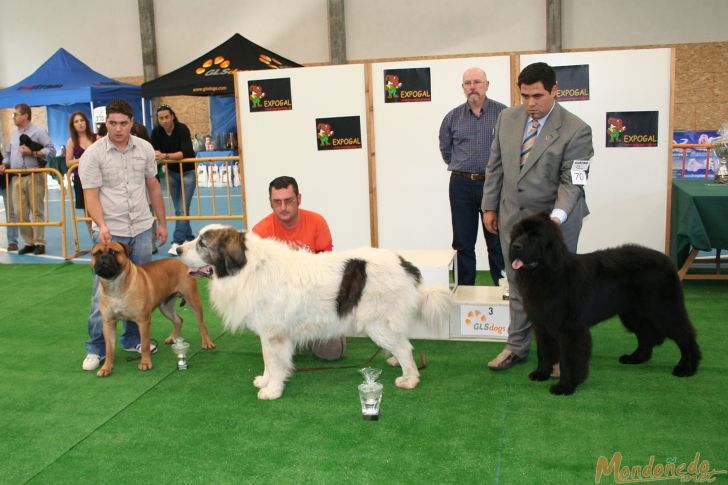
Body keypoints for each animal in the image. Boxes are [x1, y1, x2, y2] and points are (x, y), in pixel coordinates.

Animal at [92, 240, 215, 376]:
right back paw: (173, 338)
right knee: (178, 320)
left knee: (201, 323)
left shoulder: (143, 321)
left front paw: (145, 363)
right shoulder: (108, 323)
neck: (115, 286)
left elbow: (145, 344)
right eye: (96, 253)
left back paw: (206, 342)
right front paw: (106, 367)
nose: (104, 257)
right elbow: (109, 348)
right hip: (165, 306)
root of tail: (180, 262)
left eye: (114, 252)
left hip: (192, 299)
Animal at [179, 223, 452, 398]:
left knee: (405, 347)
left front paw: (272, 390)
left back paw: (409, 378)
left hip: (377, 323)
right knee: (402, 343)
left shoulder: (274, 334)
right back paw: (396, 360)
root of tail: (406, 264)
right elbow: (267, 360)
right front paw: (265, 380)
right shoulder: (267, 334)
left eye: (202, 243)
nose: (177, 250)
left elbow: (275, 362)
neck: (248, 268)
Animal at [506, 214, 700, 396]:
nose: (515, 246)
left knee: (685, 335)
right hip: (633, 314)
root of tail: (668, 261)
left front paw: (565, 386)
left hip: (663, 310)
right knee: (645, 334)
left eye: (535, 237)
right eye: (518, 234)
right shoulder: (542, 324)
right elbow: (544, 351)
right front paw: (542, 373)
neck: (548, 273)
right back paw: (635, 358)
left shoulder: (570, 328)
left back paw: (687, 368)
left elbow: (569, 358)